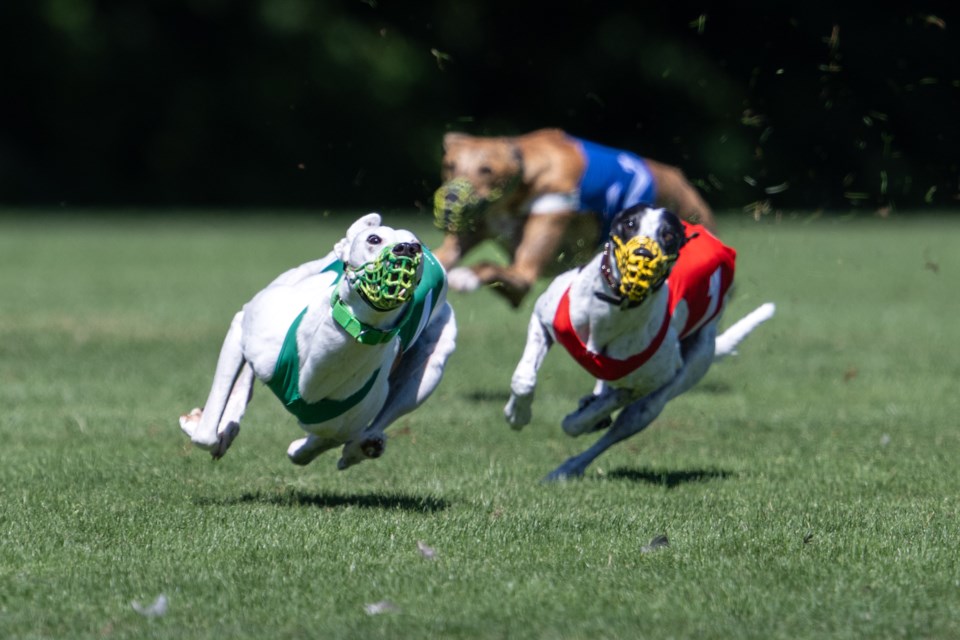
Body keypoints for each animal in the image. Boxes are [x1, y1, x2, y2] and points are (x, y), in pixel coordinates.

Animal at [179, 215, 458, 470]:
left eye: (415, 245)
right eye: (374, 239)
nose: (409, 249)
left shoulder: (341, 425)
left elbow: (313, 447)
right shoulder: (240, 330)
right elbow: (205, 434)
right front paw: (207, 428)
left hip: (426, 375)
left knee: (383, 416)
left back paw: (363, 447)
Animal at [506, 205, 776, 480]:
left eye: (668, 235)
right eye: (629, 224)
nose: (643, 253)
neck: (610, 312)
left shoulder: (650, 381)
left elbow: (585, 417)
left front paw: (582, 420)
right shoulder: (542, 319)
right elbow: (524, 379)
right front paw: (517, 414)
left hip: (680, 377)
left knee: (622, 423)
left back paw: (569, 467)